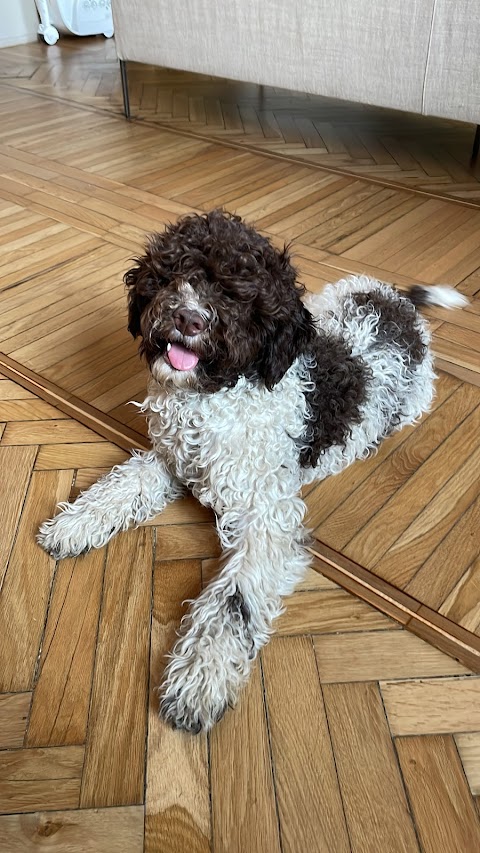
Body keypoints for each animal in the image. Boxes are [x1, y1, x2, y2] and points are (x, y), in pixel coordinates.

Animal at [38, 208, 468, 732]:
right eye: (177, 272)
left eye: (239, 296)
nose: (188, 317)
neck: (216, 396)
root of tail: (397, 301)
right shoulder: (171, 460)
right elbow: (122, 485)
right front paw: (76, 524)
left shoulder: (269, 516)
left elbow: (234, 602)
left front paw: (198, 680)